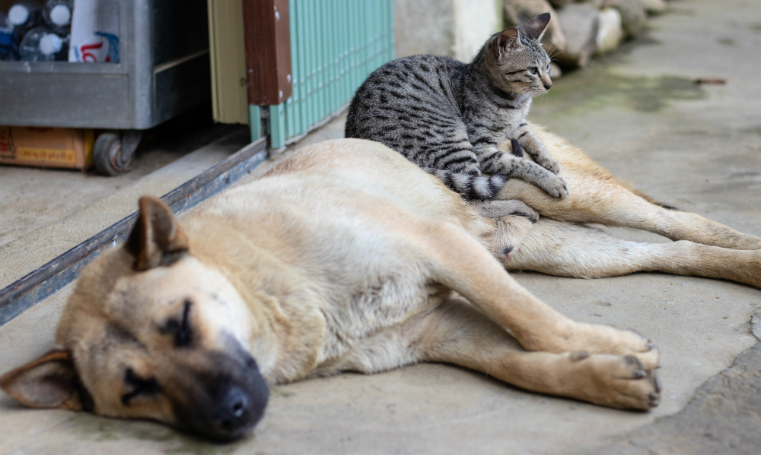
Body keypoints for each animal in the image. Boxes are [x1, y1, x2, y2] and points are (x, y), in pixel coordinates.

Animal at [0, 133, 756, 442]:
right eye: (136, 390)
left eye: (181, 322)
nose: (230, 418)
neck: (270, 286)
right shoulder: (439, 330)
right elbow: (521, 362)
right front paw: (604, 372)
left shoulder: (442, 250)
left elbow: (530, 321)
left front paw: (603, 343)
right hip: (565, 254)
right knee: (669, 252)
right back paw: (740, 263)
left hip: (572, 204)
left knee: (675, 222)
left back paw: (744, 249)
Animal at [342, 13, 564, 202]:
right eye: (533, 70)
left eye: (548, 67)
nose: (550, 85)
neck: (516, 103)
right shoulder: (482, 148)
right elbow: (522, 164)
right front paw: (551, 180)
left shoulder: (519, 124)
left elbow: (534, 138)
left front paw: (549, 160)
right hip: (454, 142)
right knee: (476, 198)